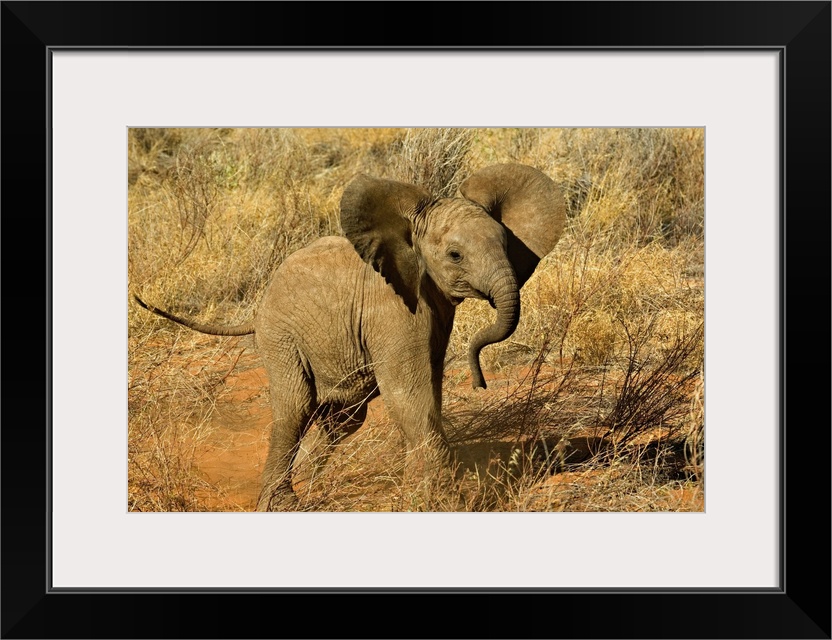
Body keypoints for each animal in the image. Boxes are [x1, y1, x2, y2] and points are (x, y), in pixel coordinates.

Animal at [135, 164, 564, 510]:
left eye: (507, 244)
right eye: (455, 255)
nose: (480, 383)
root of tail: (256, 310)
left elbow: (429, 388)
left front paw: (421, 490)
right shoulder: (392, 308)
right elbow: (409, 394)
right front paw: (443, 502)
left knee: (343, 419)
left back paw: (311, 483)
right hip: (281, 336)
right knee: (295, 409)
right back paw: (284, 504)